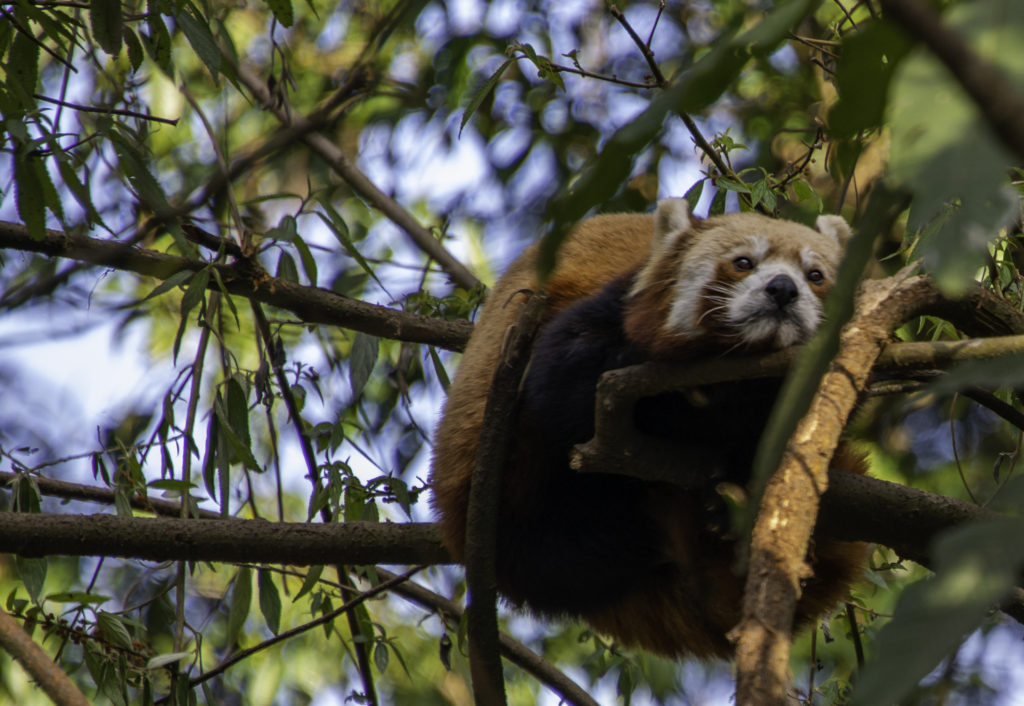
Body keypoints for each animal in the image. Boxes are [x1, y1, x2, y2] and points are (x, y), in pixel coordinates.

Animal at [428, 196, 868, 655]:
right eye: (743, 262)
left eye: (815, 275)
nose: (783, 289)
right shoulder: (600, 313)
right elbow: (561, 383)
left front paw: (737, 475)